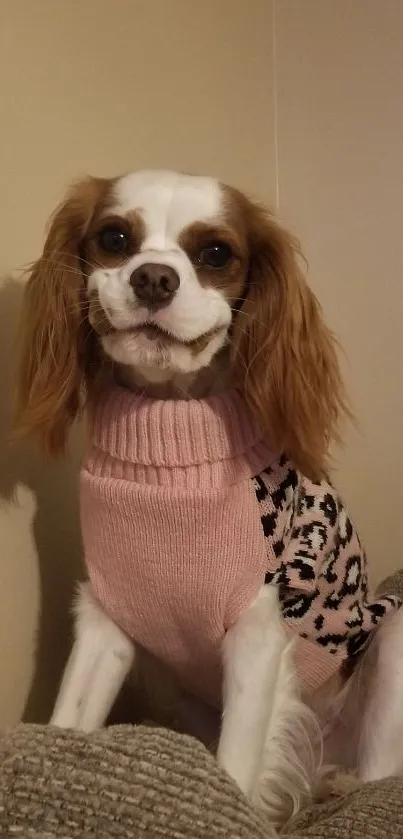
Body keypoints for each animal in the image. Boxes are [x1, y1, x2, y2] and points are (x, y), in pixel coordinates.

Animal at [14, 171, 403, 828]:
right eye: (114, 238)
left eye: (216, 253)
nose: (153, 277)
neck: (169, 446)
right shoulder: (106, 621)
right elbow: (69, 718)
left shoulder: (257, 633)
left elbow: (236, 768)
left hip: (392, 639)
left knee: (380, 775)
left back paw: (343, 787)